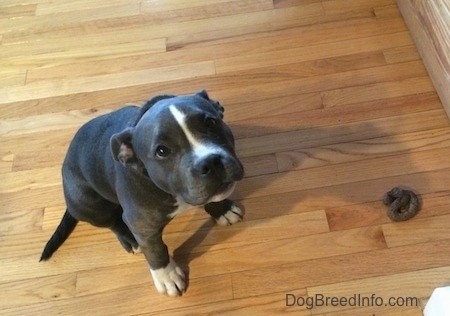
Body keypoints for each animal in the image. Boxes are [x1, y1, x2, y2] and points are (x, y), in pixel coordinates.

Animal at [41, 90, 246, 296]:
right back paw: (130, 239)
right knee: (113, 222)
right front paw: (166, 276)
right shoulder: (142, 225)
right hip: (87, 202)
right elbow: (155, 250)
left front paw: (222, 209)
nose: (211, 162)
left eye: (211, 123)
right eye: (162, 151)